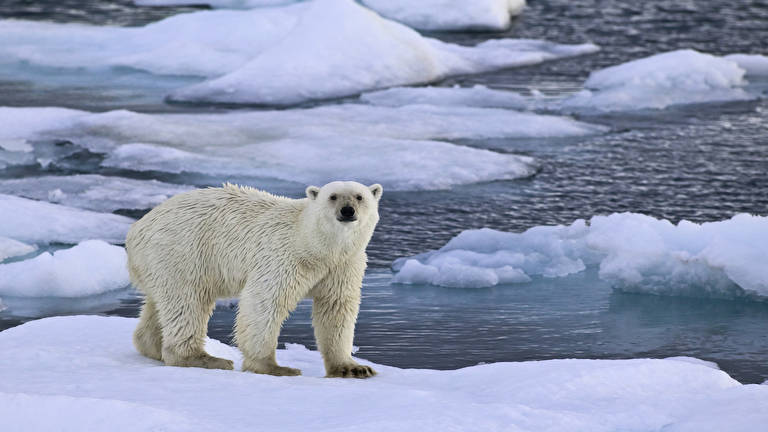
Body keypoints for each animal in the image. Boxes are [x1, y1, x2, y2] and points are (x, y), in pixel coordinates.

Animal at [127, 181, 382, 376]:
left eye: (359, 196)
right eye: (333, 196)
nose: (347, 210)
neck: (314, 246)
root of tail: (136, 229)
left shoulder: (343, 266)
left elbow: (336, 308)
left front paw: (354, 368)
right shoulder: (283, 257)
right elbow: (265, 302)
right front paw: (275, 367)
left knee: (161, 304)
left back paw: (152, 346)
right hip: (182, 252)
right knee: (188, 302)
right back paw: (205, 358)